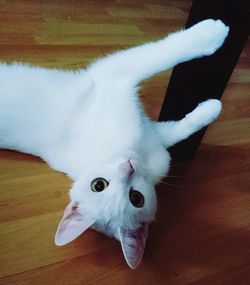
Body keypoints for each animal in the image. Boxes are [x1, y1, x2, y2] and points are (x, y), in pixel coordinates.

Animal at [0, 18, 229, 268]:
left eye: (136, 198)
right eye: (99, 185)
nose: (128, 166)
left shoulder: (153, 134)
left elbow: (178, 130)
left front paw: (210, 109)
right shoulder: (113, 78)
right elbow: (158, 54)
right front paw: (211, 33)